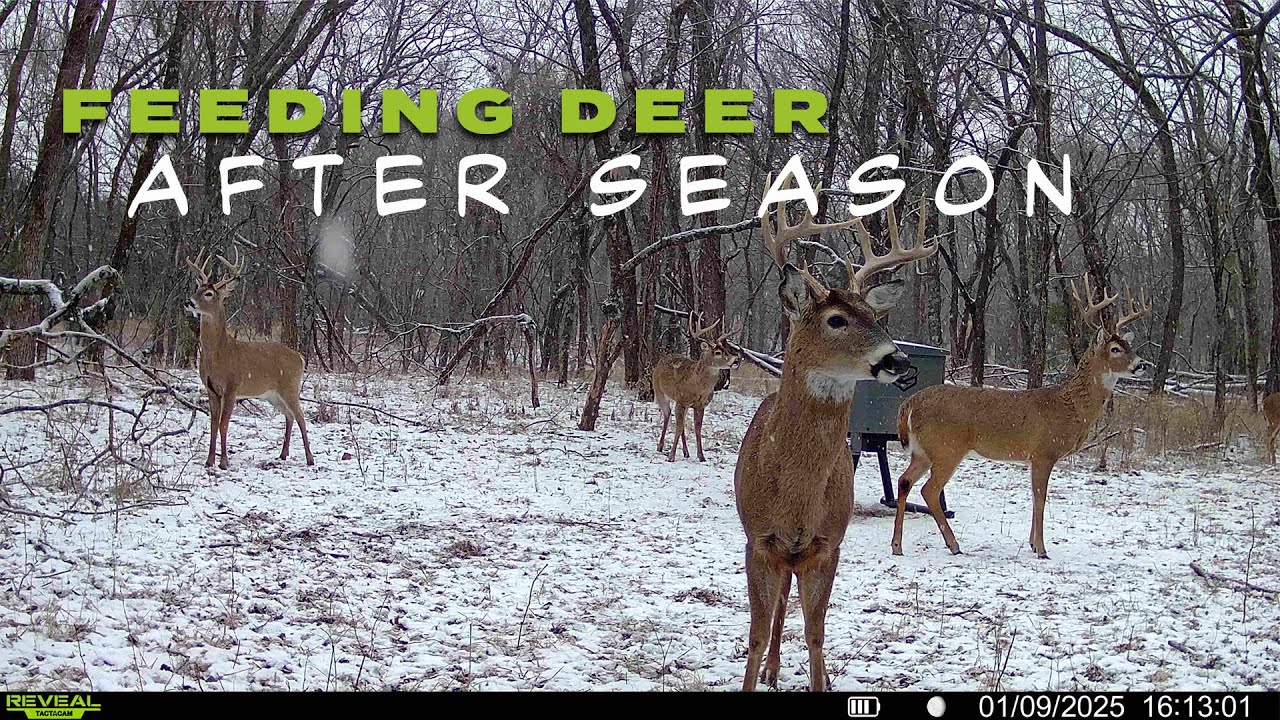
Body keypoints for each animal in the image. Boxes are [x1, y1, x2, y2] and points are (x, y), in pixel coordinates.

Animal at [185, 248, 315, 470]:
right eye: (198, 288)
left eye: (209, 293)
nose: (189, 302)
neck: (219, 355)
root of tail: (299, 357)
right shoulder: (210, 389)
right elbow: (213, 423)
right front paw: (209, 461)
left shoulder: (232, 387)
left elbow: (223, 424)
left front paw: (224, 462)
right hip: (272, 394)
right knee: (289, 415)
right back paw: (283, 454)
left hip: (290, 386)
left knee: (300, 415)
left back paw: (310, 458)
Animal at [652, 311, 741, 462]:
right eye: (717, 352)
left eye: (726, 349)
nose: (736, 360)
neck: (697, 386)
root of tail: (662, 359)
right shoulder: (682, 400)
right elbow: (679, 427)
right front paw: (671, 456)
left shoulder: (700, 405)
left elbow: (697, 428)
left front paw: (701, 456)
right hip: (659, 391)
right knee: (667, 415)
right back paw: (660, 446)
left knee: (679, 422)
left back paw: (686, 452)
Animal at [734, 189, 936, 692]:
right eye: (836, 319)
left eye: (878, 317)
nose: (897, 359)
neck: (795, 500)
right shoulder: (758, 541)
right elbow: (755, 633)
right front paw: (757, 669)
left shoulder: (828, 545)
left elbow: (816, 632)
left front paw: (818, 679)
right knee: (778, 606)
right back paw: (770, 668)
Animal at [892, 275, 1151, 560]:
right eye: (1115, 348)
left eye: (1129, 345)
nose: (1141, 364)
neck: (1070, 408)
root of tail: (909, 404)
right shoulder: (1044, 452)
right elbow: (1040, 497)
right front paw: (1041, 549)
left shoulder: (1034, 457)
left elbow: (1034, 496)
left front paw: (1032, 543)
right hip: (947, 448)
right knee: (929, 489)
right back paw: (954, 544)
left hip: (923, 450)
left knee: (904, 481)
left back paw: (897, 546)